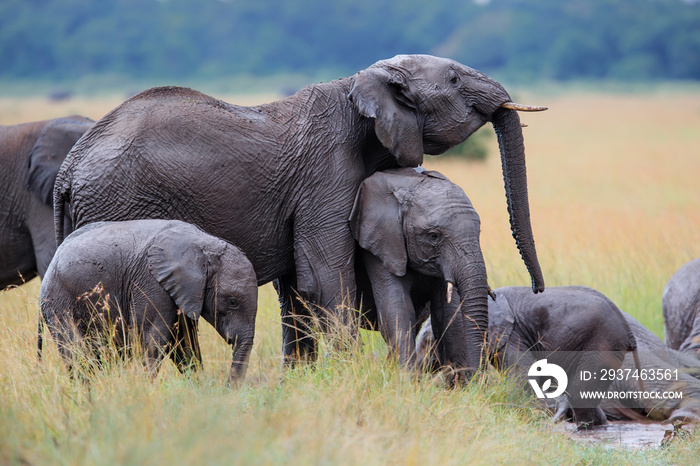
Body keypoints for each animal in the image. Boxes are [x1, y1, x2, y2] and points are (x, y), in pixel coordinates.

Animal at [39, 220, 258, 384]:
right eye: (232, 301)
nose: (226, 389)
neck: (204, 245)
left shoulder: (183, 291)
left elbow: (184, 340)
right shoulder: (151, 282)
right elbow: (155, 336)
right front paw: (147, 388)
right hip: (59, 300)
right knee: (76, 354)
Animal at [348, 167, 490, 382]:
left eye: (479, 231)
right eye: (433, 236)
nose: (477, 377)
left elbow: (448, 314)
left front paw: (460, 384)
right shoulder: (381, 244)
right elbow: (397, 308)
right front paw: (409, 382)